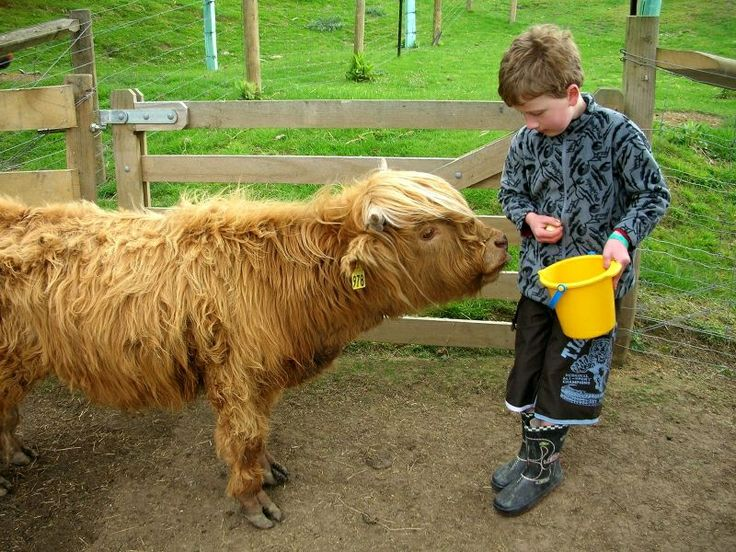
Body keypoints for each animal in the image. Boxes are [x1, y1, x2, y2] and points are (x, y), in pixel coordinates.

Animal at [0, 169, 508, 528]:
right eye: (427, 232)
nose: (501, 241)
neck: (285, 280)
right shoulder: (237, 376)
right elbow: (244, 436)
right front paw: (252, 501)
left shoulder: (264, 376)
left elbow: (261, 431)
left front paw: (267, 472)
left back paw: (17, 455)